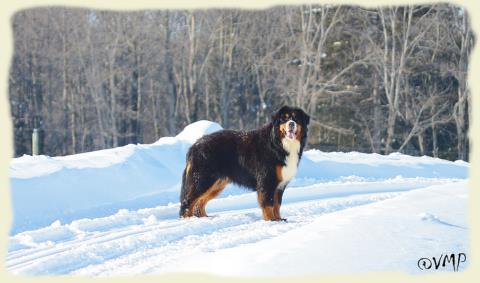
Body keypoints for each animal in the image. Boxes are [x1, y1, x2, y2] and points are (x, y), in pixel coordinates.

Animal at [178, 106, 310, 222]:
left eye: (296, 118)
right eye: (284, 119)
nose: (291, 123)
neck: (279, 144)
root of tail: (195, 145)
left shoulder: (279, 185)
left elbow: (277, 204)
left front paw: (278, 219)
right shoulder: (267, 181)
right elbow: (268, 203)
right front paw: (271, 220)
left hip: (216, 184)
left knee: (200, 203)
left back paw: (204, 218)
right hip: (203, 180)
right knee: (188, 202)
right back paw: (188, 220)